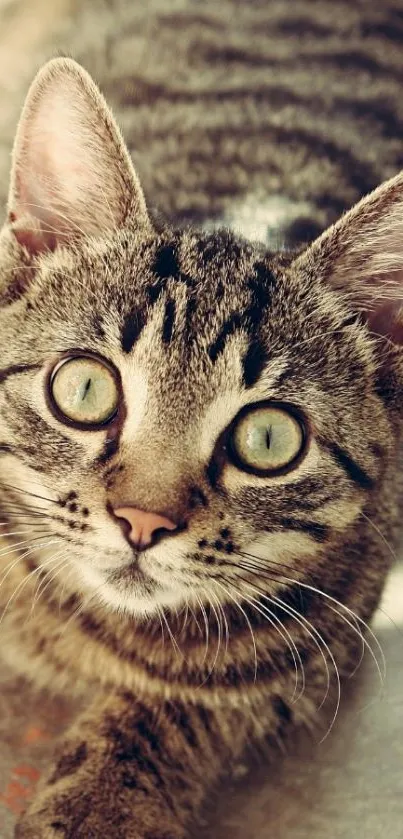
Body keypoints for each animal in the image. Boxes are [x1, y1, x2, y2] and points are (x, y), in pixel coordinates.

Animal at [0, 1, 402, 839]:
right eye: (83, 388)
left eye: (268, 438)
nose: (142, 520)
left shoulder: (312, 645)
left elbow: (183, 705)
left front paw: (101, 803)